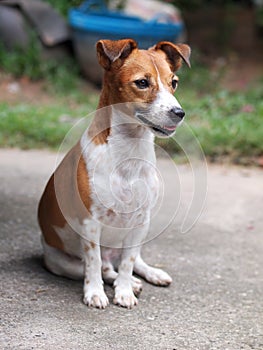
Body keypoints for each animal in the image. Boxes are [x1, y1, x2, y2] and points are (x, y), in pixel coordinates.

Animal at [37, 37, 192, 308]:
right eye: (142, 83)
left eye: (174, 82)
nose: (179, 113)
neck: (129, 151)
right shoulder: (90, 224)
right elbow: (94, 262)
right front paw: (95, 293)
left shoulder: (141, 221)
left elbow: (128, 263)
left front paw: (125, 291)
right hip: (62, 263)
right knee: (104, 267)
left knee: (130, 261)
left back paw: (150, 275)